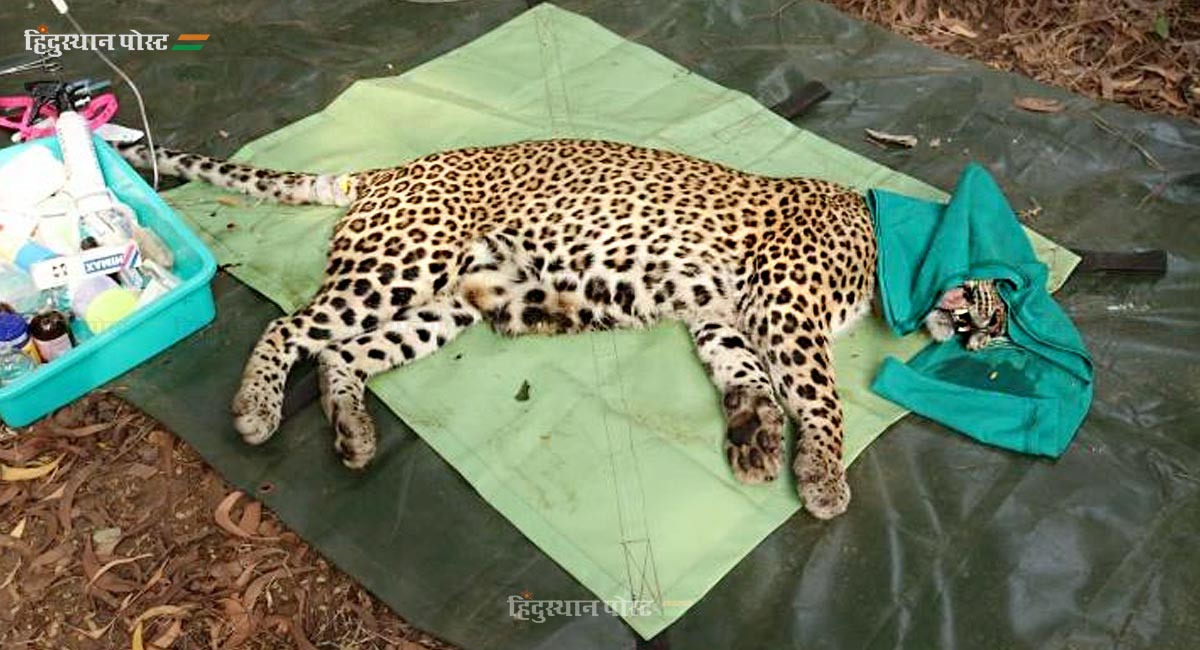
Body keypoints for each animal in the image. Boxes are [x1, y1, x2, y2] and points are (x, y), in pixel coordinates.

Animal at [119, 137, 993, 520]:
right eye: (1000, 300)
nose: (987, 336)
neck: (889, 241)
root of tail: (388, 171)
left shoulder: (722, 316)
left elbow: (746, 378)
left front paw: (753, 438)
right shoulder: (784, 308)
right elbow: (824, 397)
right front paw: (822, 477)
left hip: (448, 302)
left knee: (343, 353)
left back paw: (353, 433)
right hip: (400, 266)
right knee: (292, 325)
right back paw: (258, 409)